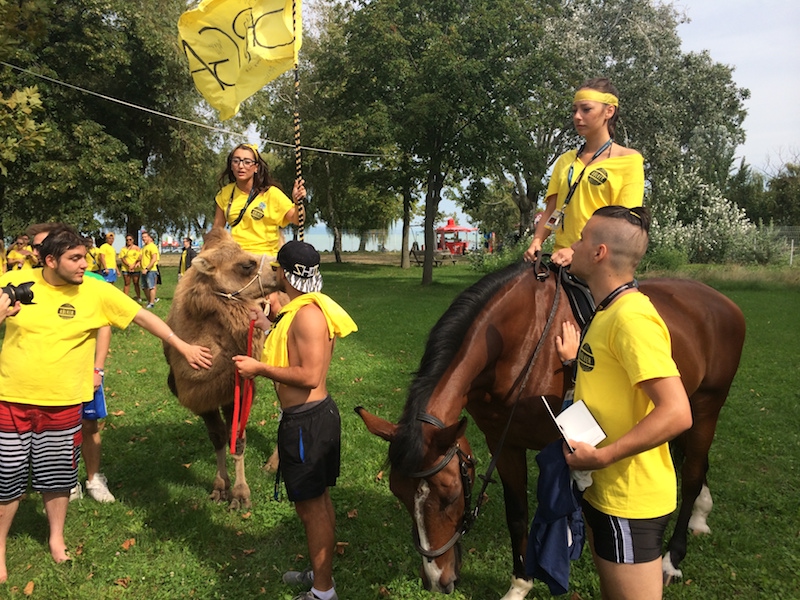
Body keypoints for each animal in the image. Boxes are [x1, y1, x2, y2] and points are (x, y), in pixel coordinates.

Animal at [163, 227, 276, 508]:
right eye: (246, 264)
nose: (278, 269)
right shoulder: (203, 395)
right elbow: (218, 436)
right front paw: (219, 488)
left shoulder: (240, 387)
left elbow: (238, 437)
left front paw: (240, 495)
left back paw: (273, 464)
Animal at [356, 264, 744, 600]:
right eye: (399, 494)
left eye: (450, 495)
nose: (438, 580)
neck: (516, 343)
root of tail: (721, 301)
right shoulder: (503, 440)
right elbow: (517, 514)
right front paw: (520, 584)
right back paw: (701, 515)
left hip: (707, 407)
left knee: (691, 476)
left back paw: (672, 559)